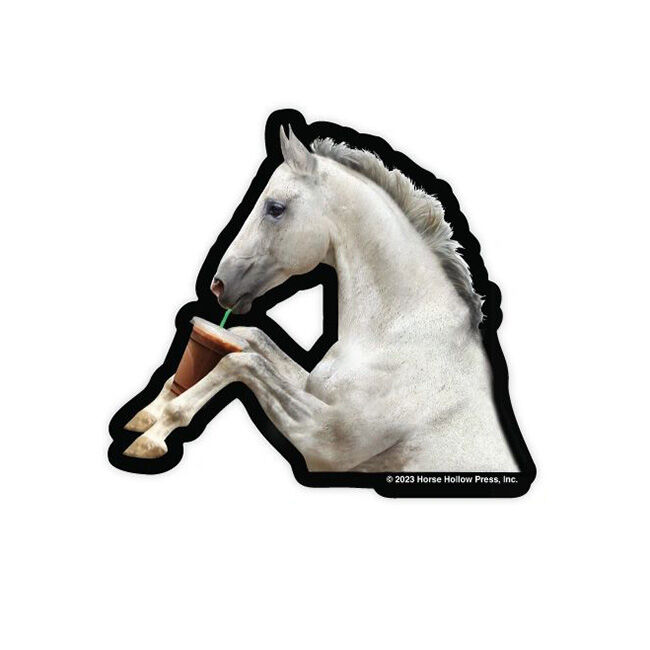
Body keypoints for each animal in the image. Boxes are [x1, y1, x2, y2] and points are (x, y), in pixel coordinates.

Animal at [123, 126, 518, 472]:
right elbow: (249, 338)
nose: (219, 285)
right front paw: (146, 414)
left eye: (275, 208)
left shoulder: (325, 440)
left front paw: (151, 438)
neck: (400, 336)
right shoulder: (313, 394)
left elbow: (241, 362)